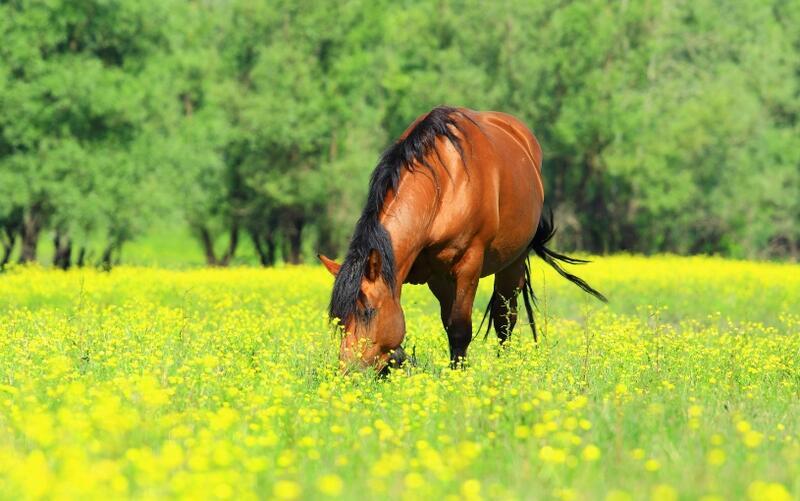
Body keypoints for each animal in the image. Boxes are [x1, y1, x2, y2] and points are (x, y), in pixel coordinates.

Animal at [318, 106, 608, 372]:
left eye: (368, 311)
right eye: (339, 319)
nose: (348, 372)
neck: (443, 188)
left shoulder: (467, 266)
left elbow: (459, 329)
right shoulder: (434, 276)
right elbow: (437, 329)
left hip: (512, 262)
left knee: (505, 319)